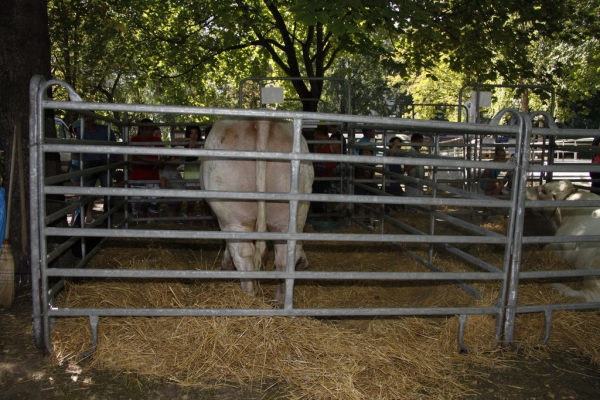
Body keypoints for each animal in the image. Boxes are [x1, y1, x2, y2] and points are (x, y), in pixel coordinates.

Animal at [201, 118, 314, 304]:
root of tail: (261, 121)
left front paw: (225, 263)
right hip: (292, 211)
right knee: (285, 256)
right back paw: (279, 300)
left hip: (233, 213)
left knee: (244, 254)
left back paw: (248, 296)